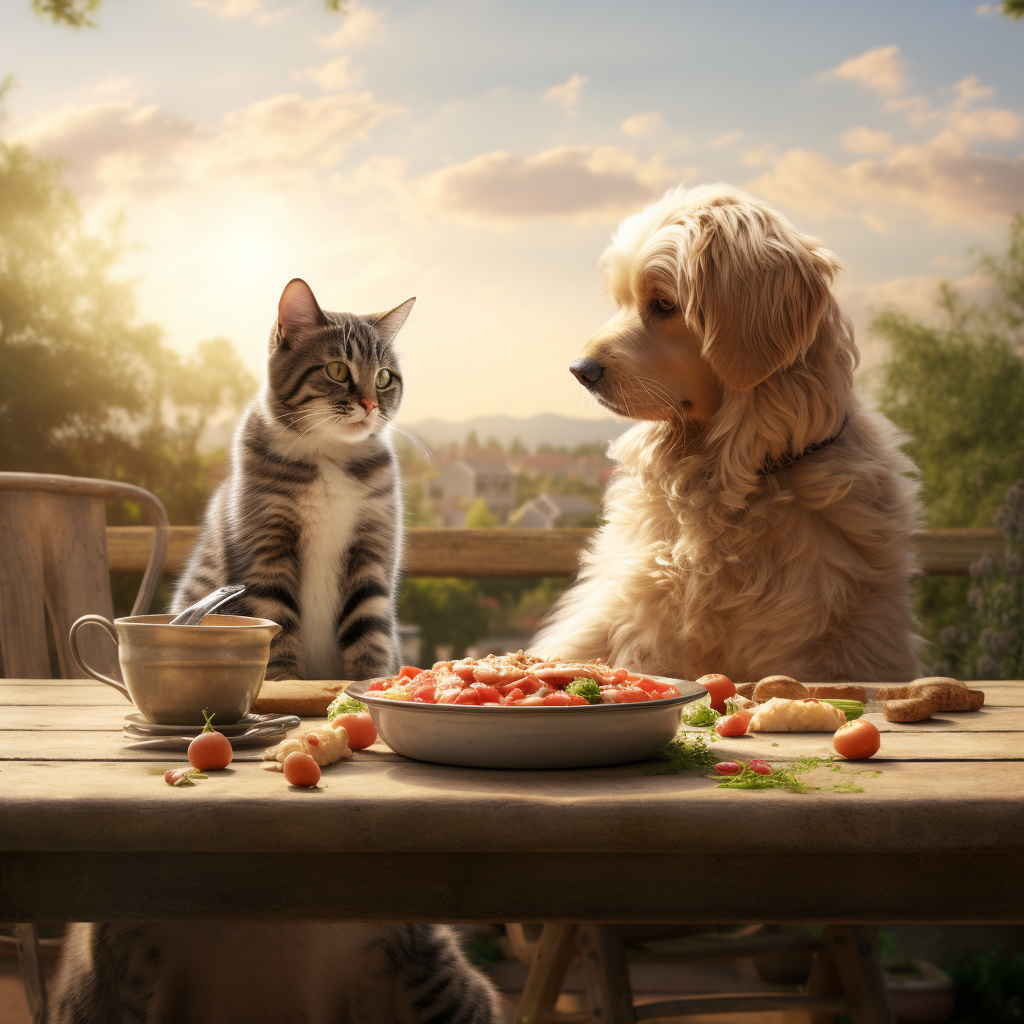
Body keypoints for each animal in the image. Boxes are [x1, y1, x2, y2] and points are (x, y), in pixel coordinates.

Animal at [174, 276, 413, 684]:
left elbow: (369, 629)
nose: (370, 405)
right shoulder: (266, 550)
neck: (328, 454)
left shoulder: (372, 547)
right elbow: (276, 626)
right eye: (337, 370)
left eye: (383, 377)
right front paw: (286, 684)